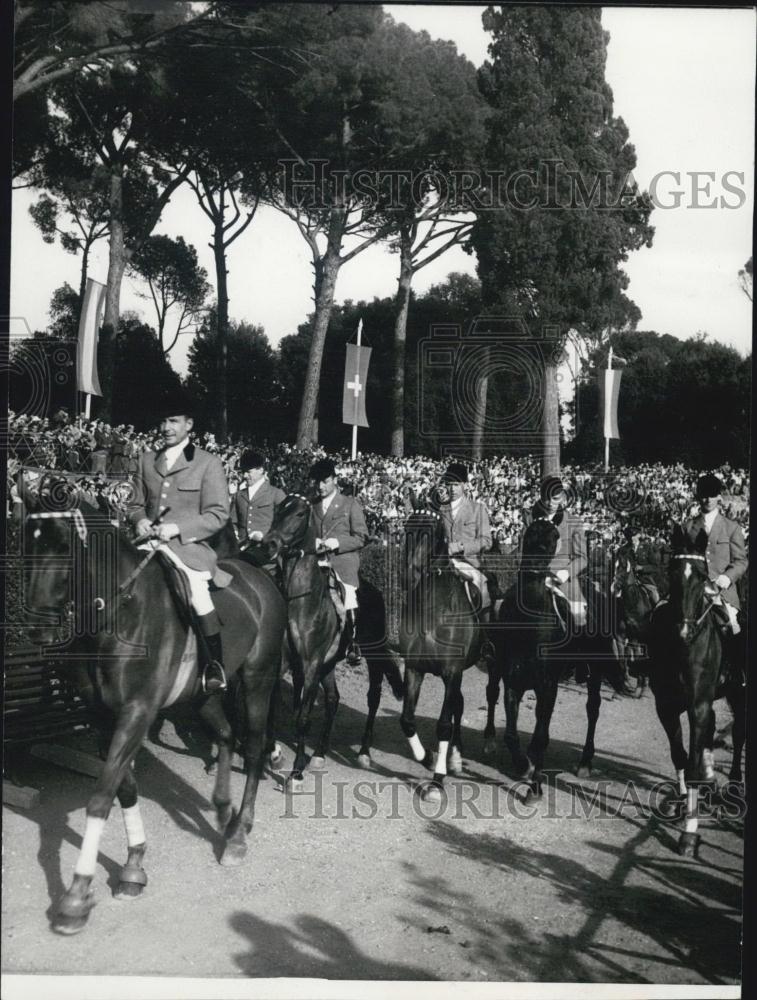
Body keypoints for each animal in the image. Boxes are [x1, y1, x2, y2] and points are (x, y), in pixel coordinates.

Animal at [21, 480, 286, 932]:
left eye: (63, 544)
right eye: (25, 539)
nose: (39, 629)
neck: (119, 614)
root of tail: (259, 578)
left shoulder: (137, 712)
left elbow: (101, 796)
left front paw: (76, 895)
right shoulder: (103, 716)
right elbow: (124, 787)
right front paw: (133, 867)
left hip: (257, 681)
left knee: (251, 747)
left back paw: (238, 834)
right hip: (202, 696)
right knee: (225, 735)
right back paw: (222, 810)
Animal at [258, 496, 404, 784]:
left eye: (300, 513)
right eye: (278, 509)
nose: (269, 543)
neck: (302, 600)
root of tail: (375, 591)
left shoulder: (311, 664)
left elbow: (303, 718)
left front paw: (296, 772)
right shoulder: (287, 661)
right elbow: (273, 707)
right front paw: (273, 754)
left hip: (372, 657)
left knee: (373, 697)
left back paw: (364, 752)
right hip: (329, 664)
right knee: (333, 700)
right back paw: (319, 754)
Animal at [398, 504, 482, 800]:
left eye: (432, 533)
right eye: (406, 529)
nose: (407, 576)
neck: (432, 610)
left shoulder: (452, 672)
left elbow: (443, 724)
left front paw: (437, 780)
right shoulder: (414, 669)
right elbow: (407, 720)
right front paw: (429, 758)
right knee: (459, 703)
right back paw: (454, 757)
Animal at [648, 524, 748, 860]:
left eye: (703, 576)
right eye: (672, 572)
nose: (684, 631)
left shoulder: (698, 704)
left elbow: (691, 760)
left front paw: (689, 833)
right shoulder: (665, 705)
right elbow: (679, 755)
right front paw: (681, 803)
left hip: (738, 692)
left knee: (739, 734)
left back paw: (733, 789)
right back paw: (711, 780)